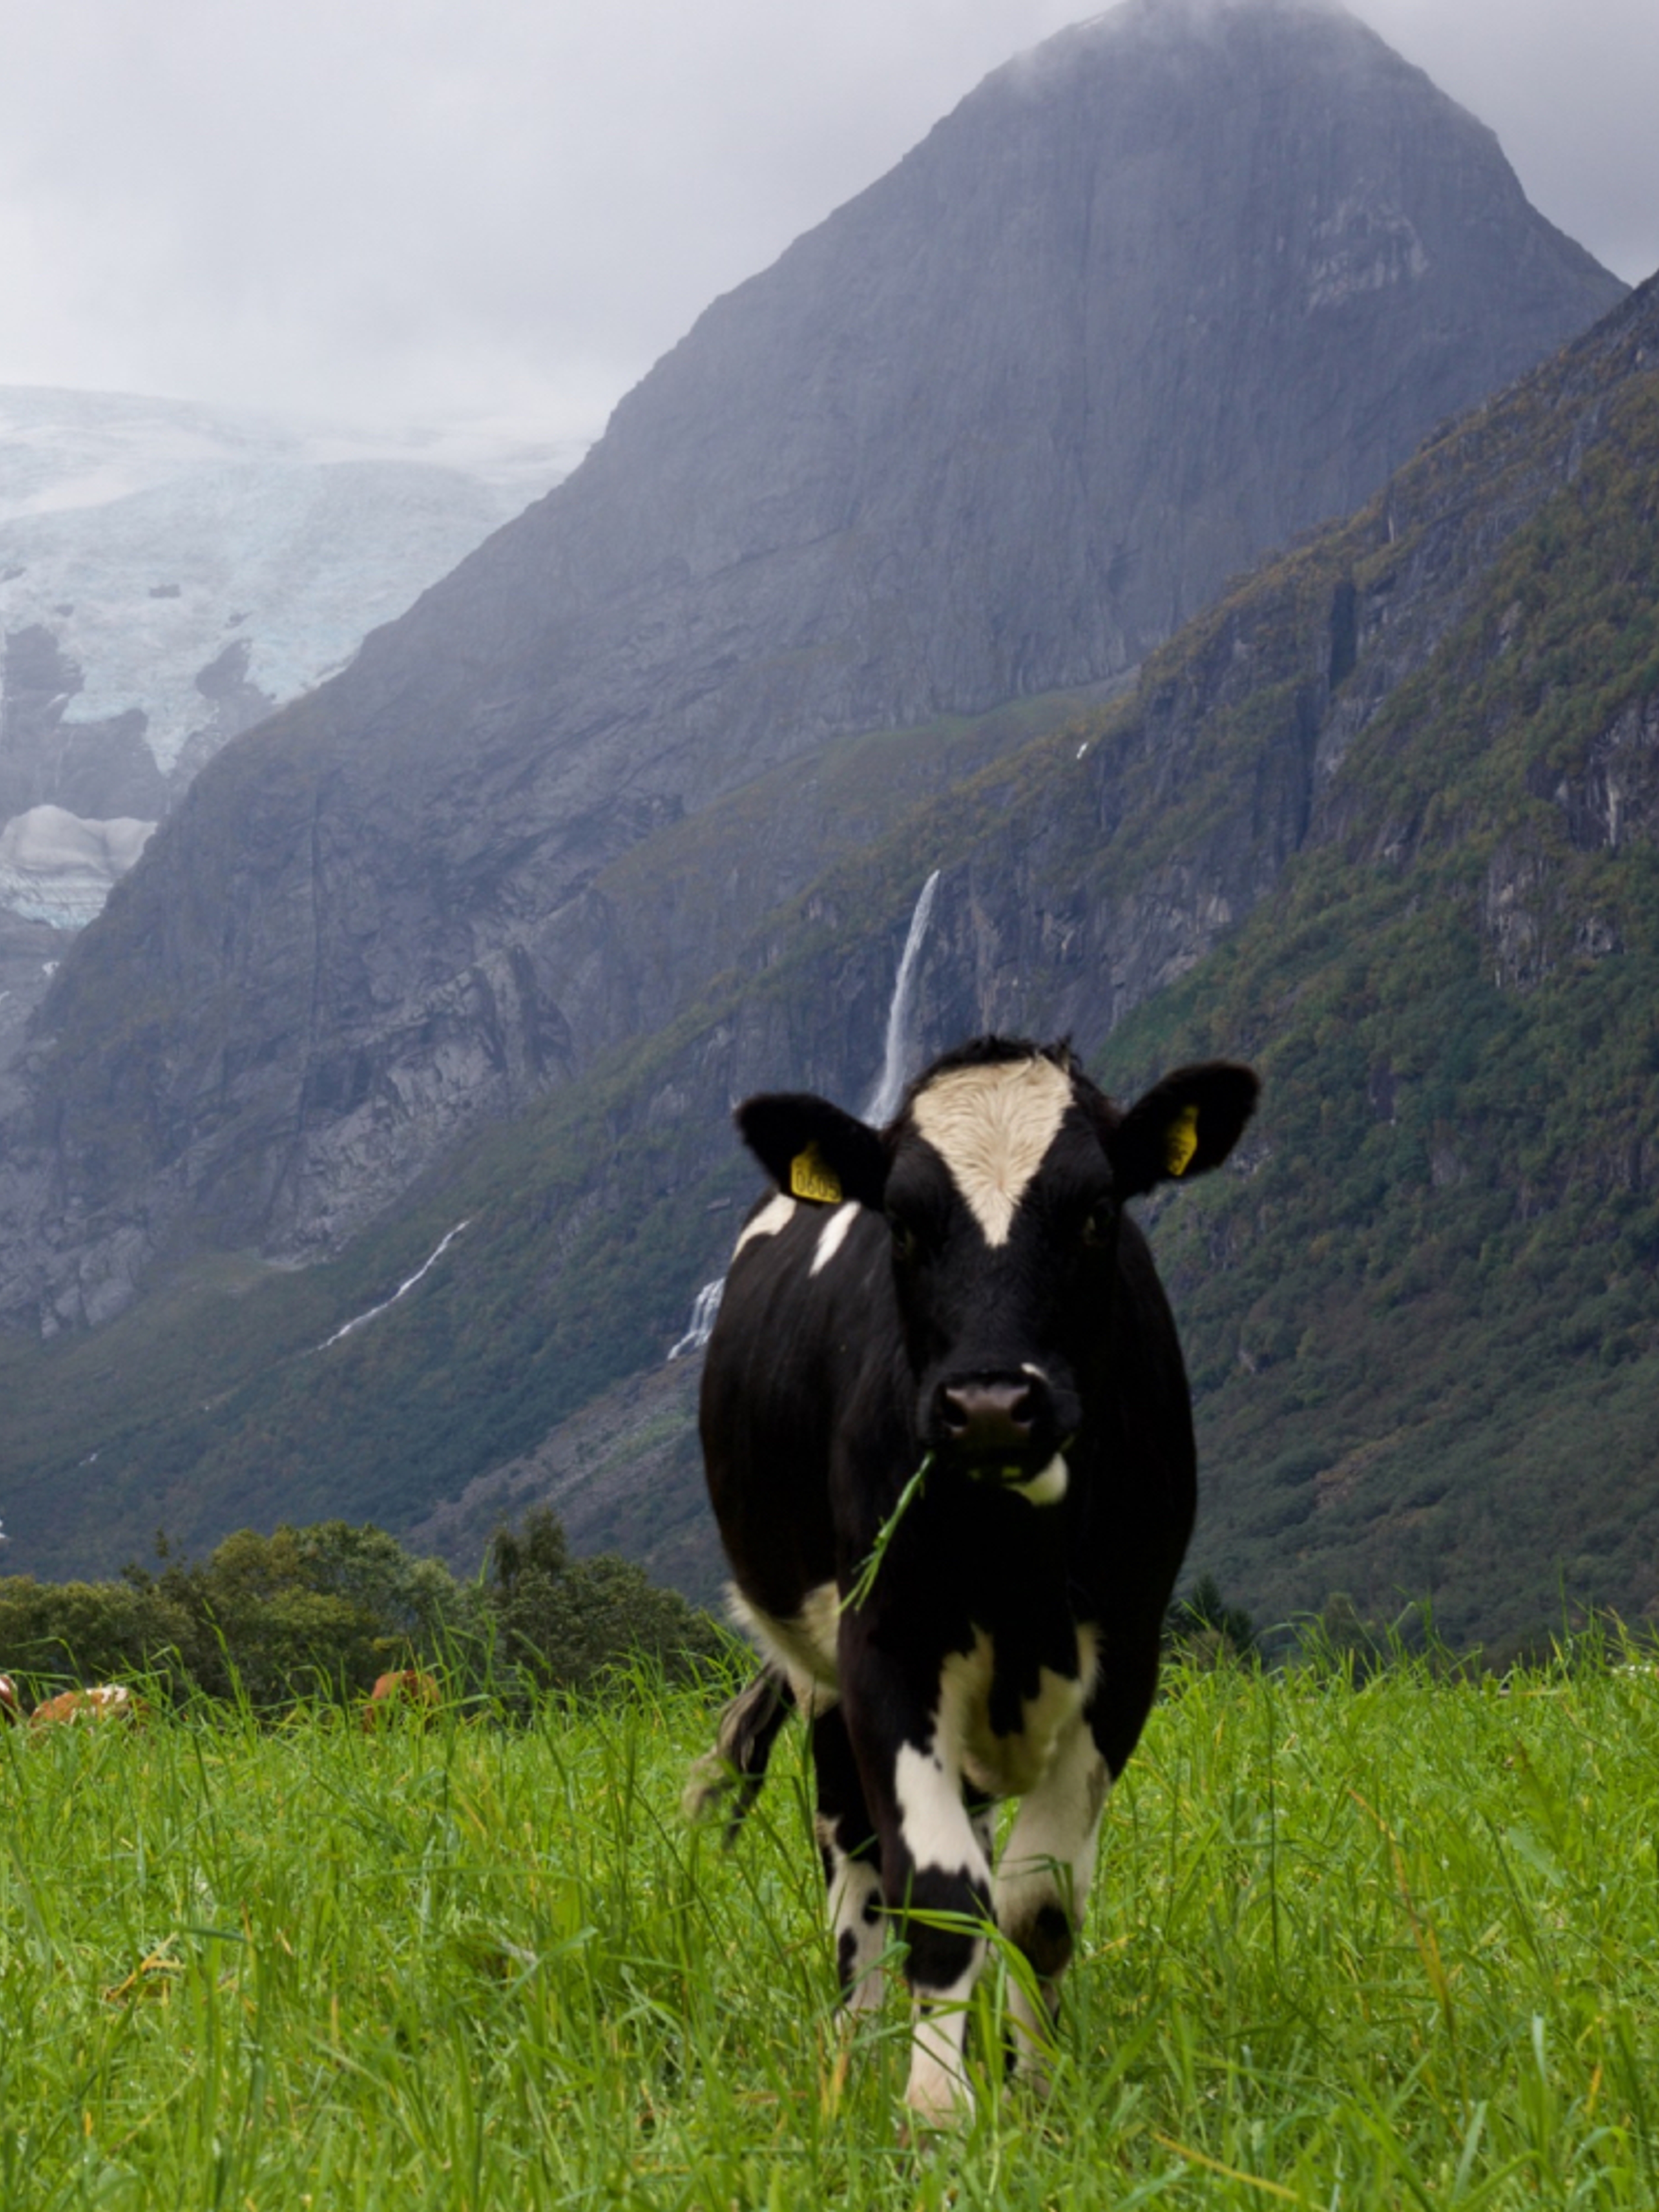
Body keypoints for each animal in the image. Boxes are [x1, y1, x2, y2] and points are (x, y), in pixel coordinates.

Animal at [686, 1036, 1258, 2125]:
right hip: (821, 1670)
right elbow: (940, 1890)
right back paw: (860, 2038)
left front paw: (1033, 2086)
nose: (991, 1403)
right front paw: (934, 2103)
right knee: (851, 1843)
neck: (1014, 1554)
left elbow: (1036, 1902)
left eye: (1096, 1211)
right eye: (903, 1224)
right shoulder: (885, 1640)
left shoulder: (1128, 1649)